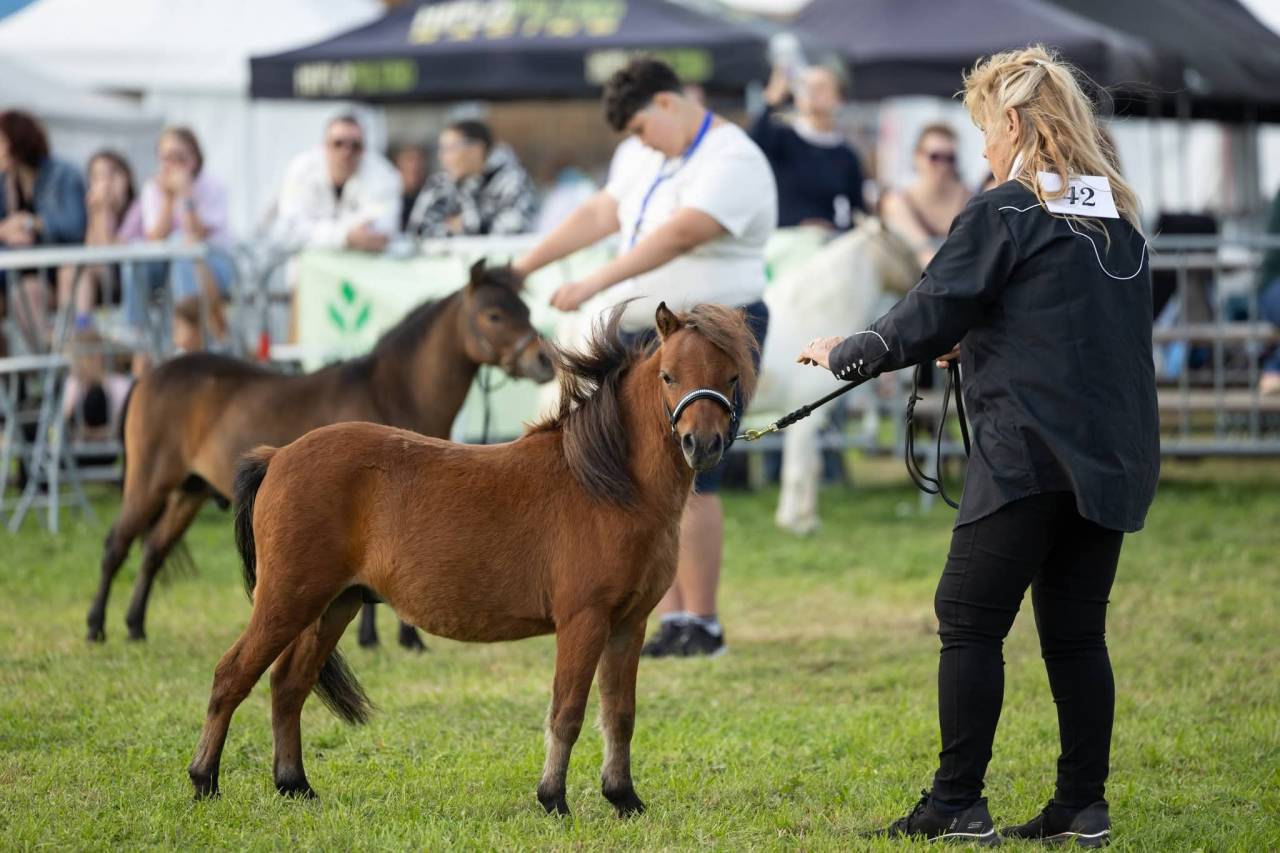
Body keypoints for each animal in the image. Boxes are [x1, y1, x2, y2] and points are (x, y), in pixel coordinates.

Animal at [86, 260, 555, 647]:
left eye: (527, 311)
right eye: (494, 315)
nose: (543, 361)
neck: (390, 390)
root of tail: (150, 374)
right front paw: (388, 639)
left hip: (189, 491)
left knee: (153, 551)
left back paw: (135, 626)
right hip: (149, 482)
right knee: (115, 546)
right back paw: (96, 627)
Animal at [186, 302, 758, 816]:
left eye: (730, 376)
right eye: (668, 375)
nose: (701, 444)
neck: (607, 484)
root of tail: (278, 456)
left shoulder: (628, 624)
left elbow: (619, 714)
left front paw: (623, 798)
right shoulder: (584, 620)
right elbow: (568, 712)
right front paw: (553, 800)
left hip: (333, 606)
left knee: (288, 686)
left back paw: (294, 785)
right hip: (287, 600)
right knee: (231, 675)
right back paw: (204, 780)